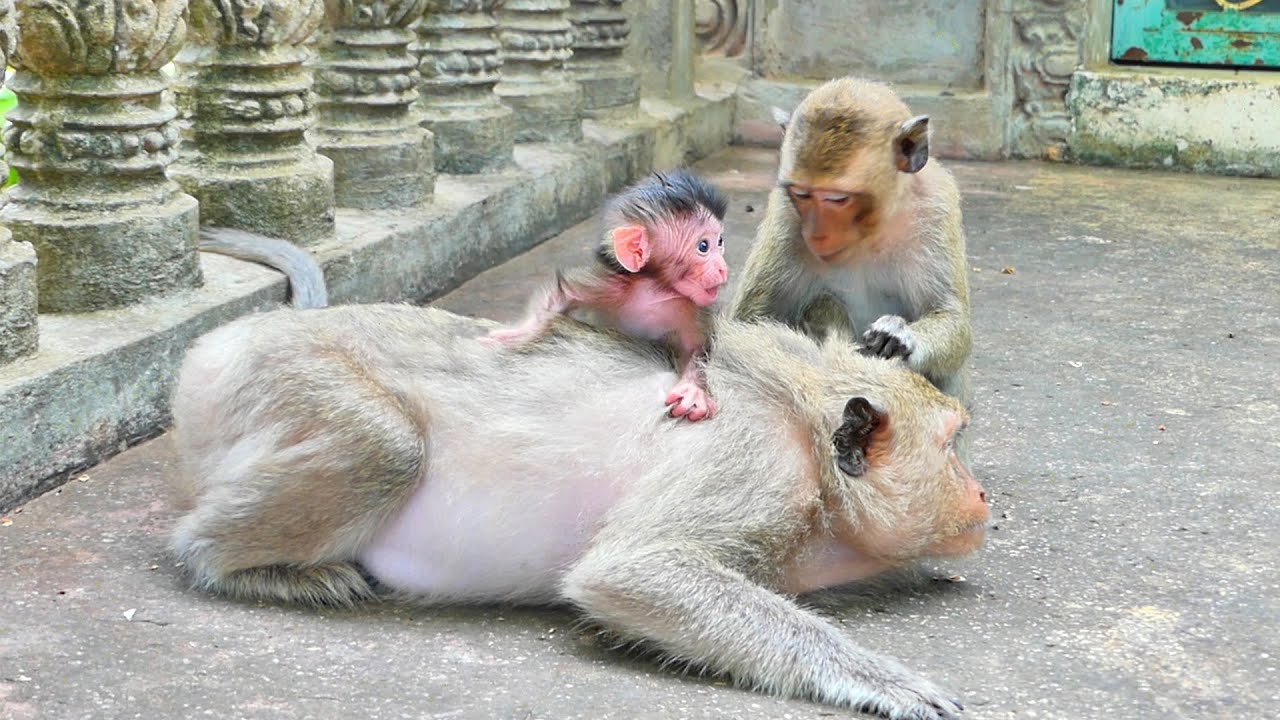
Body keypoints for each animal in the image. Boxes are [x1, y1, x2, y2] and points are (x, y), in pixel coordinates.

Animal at [168, 303, 990, 720]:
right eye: (953, 444)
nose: (983, 495)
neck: (810, 443)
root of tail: (216, 347)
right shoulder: (750, 462)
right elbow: (634, 571)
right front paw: (880, 680)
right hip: (278, 376)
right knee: (386, 445)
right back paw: (234, 560)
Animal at [481, 169, 730, 422]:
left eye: (720, 242)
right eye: (703, 246)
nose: (722, 268)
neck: (652, 289)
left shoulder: (687, 306)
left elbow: (695, 348)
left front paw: (694, 390)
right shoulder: (609, 284)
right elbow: (562, 295)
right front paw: (519, 333)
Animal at [730, 77, 974, 407]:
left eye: (838, 199)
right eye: (802, 194)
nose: (816, 233)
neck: (869, 232)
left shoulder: (936, 209)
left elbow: (950, 313)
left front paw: (900, 336)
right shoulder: (785, 216)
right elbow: (750, 321)